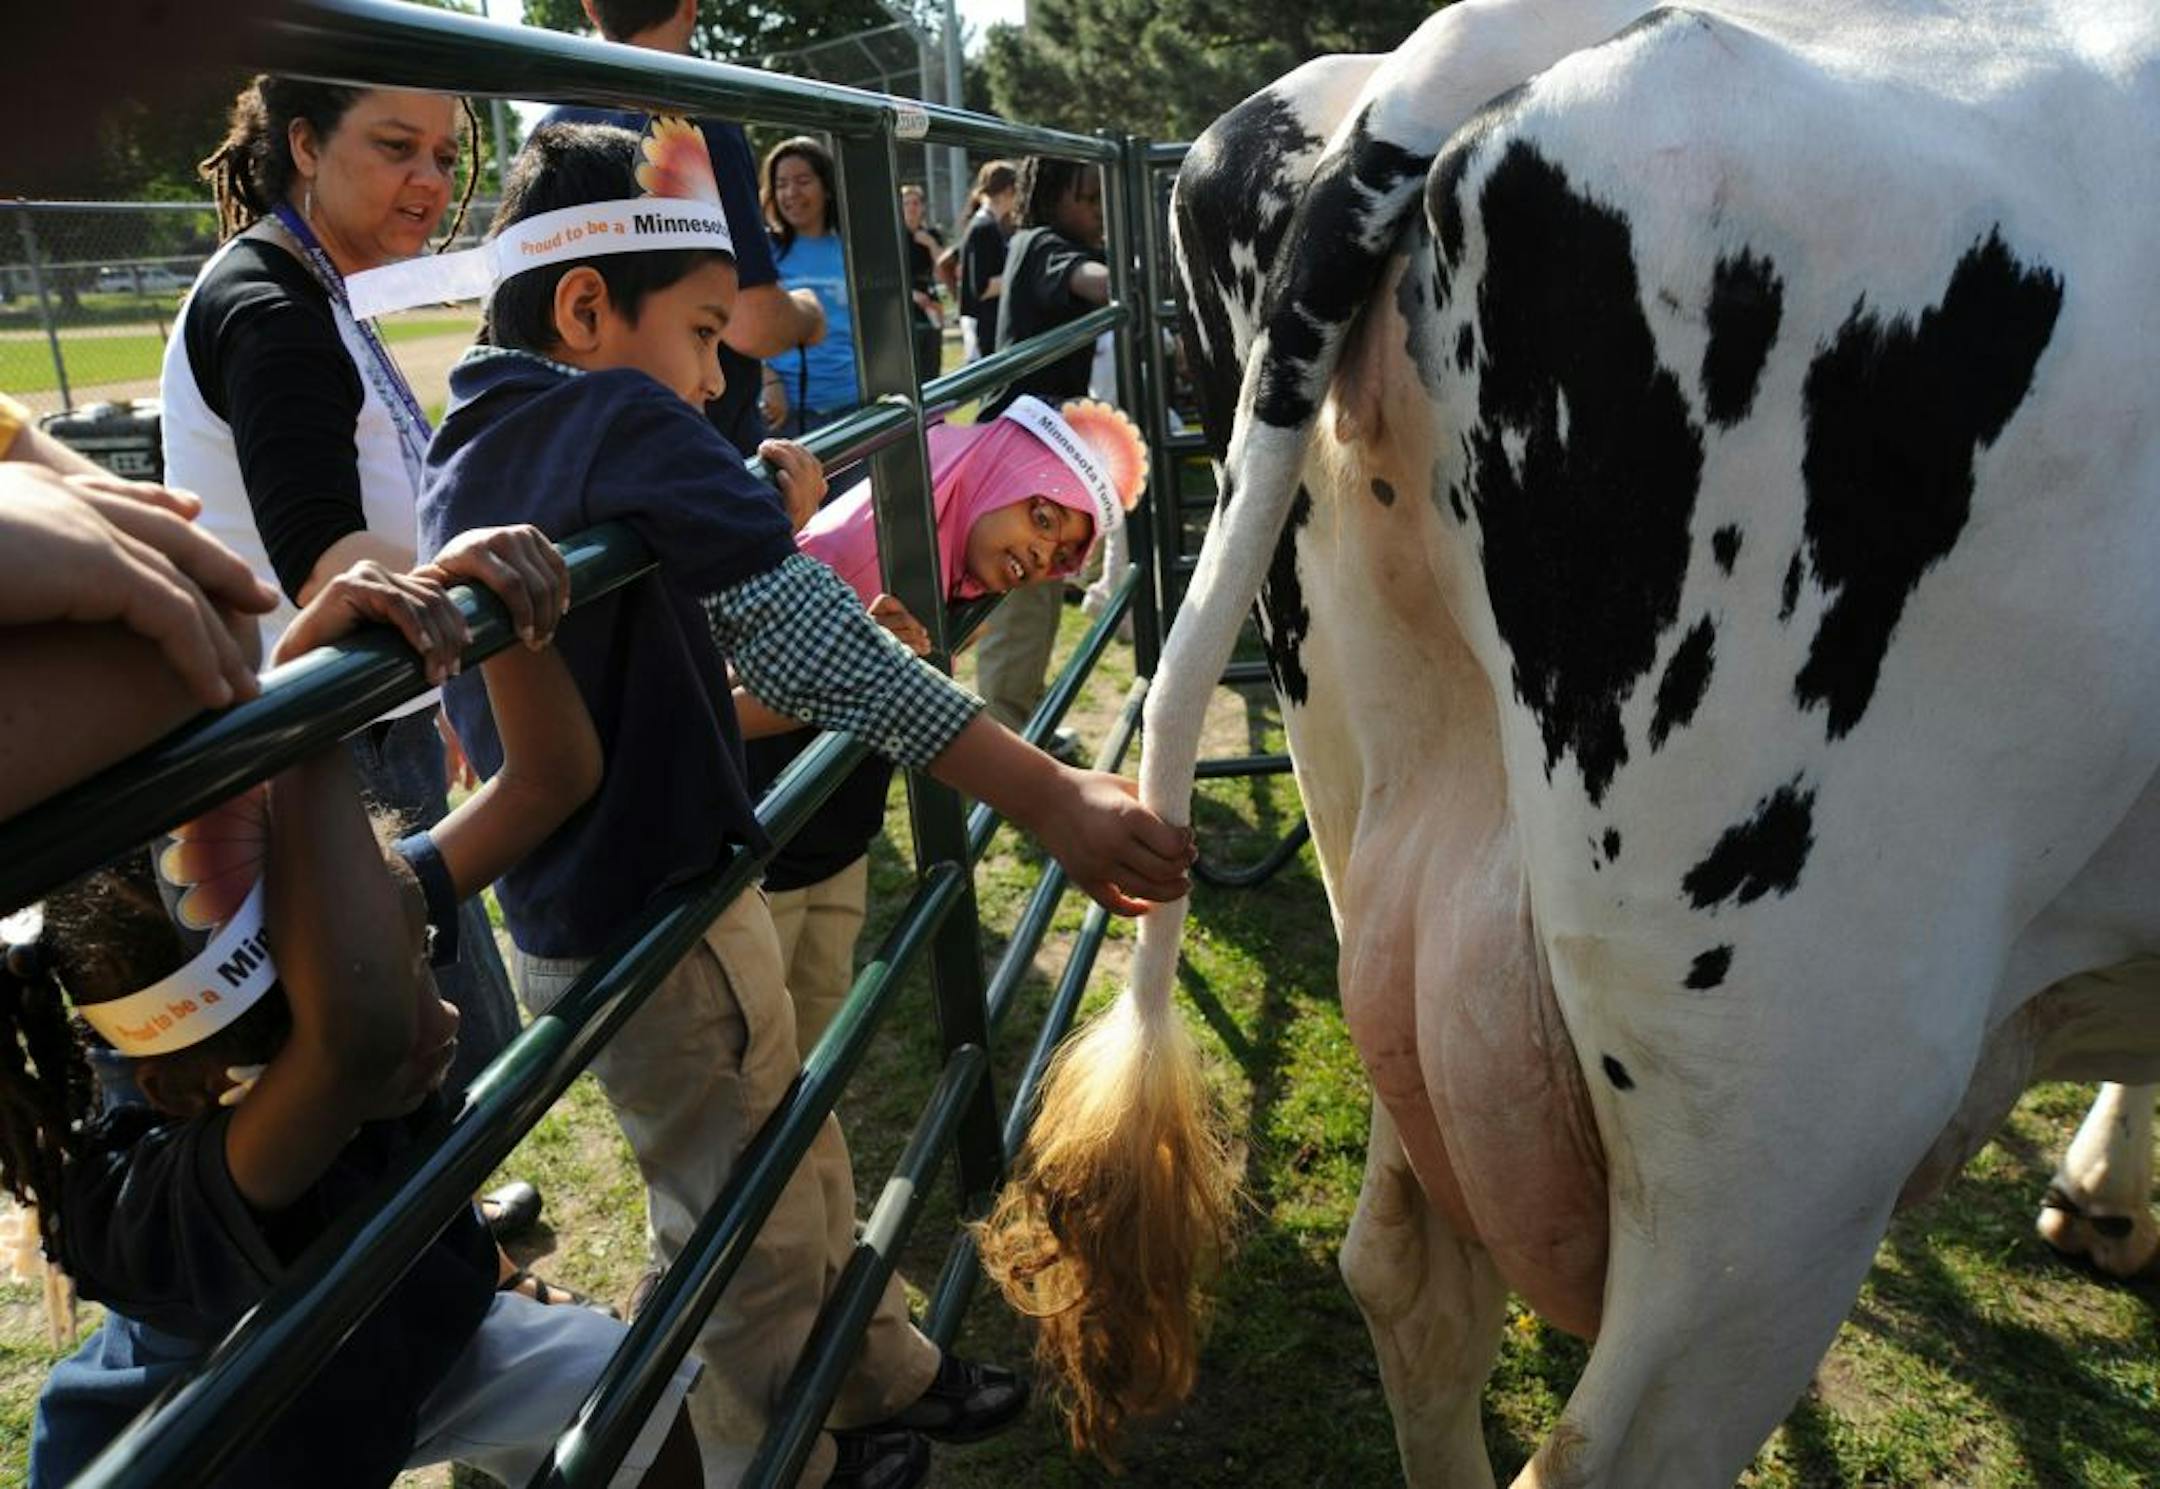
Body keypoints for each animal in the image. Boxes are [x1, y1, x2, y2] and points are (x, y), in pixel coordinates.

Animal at [979, 2, 2160, 1484]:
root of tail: (1440, 63)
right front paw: (2111, 1198)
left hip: (1393, 856)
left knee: (1408, 1286)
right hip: (1791, 1120)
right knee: (1604, 1444)